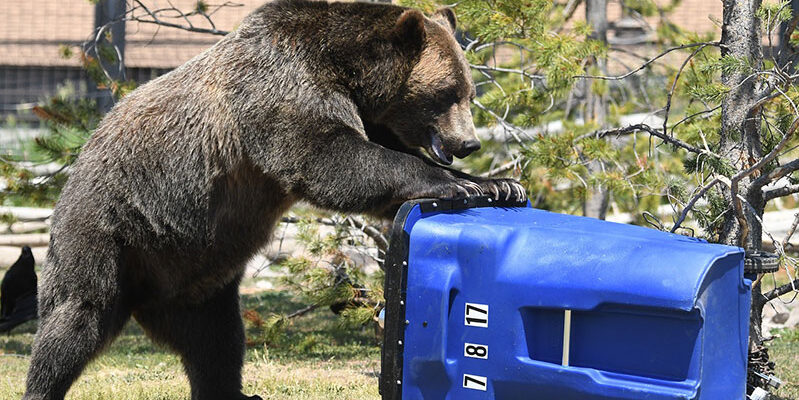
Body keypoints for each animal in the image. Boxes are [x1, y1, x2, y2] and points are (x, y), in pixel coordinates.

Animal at [22, 1, 526, 399]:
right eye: (448, 93)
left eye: (469, 92)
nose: (469, 143)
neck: (349, 74)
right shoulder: (281, 87)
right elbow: (331, 159)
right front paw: (458, 185)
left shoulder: (360, 113)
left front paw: (498, 183)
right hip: (109, 230)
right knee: (75, 318)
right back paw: (45, 381)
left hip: (194, 277)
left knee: (218, 342)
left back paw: (233, 392)